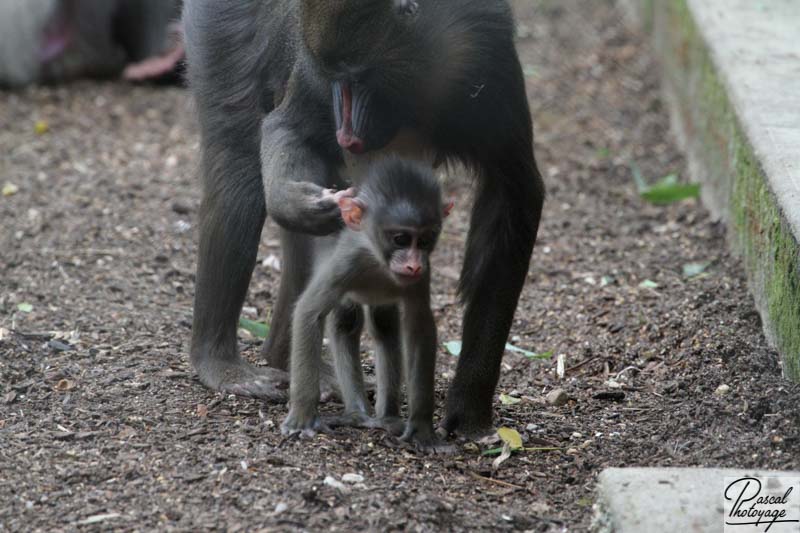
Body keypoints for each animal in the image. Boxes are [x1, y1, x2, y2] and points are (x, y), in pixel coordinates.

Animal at [284, 159, 454, 454]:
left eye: (425, 240)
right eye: (400, 239)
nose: (413, 264)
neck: (378, 262)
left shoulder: (423, 275)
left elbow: (420, 328)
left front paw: (422, 429)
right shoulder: (346, 262)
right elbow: (308, 313)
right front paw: (303, 417)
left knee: (384, 328)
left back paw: (387, 418)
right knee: (346, 324)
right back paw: (358, 414)